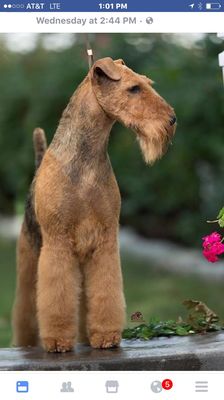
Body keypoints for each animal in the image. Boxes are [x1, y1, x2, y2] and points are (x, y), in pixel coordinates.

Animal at [12, 57, 177, 352]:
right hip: (31, 259)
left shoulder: (105, 241)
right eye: (134, 88)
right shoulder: (58, 243)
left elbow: (105, 292)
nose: (172, 119)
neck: (86, 159)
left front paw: (107, 336)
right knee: (27, 309)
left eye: (147, 83)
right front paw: (57, 340)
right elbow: (55, 298)